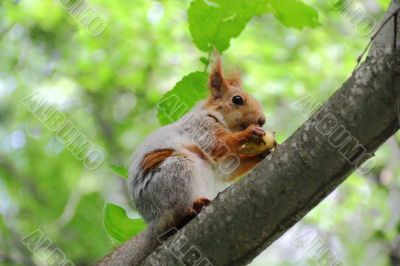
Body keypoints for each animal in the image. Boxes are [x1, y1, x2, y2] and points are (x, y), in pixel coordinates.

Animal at [98, 55, 276, 264]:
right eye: (237, 99)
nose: (262, 121)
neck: (218, 117)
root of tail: (154, 224)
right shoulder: (201, 128)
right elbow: (219, 144)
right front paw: (248, 133)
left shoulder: (223, 162)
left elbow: (229, 168)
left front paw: (262, 154)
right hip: (176, 174)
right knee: (174, 219)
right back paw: (191, 210)